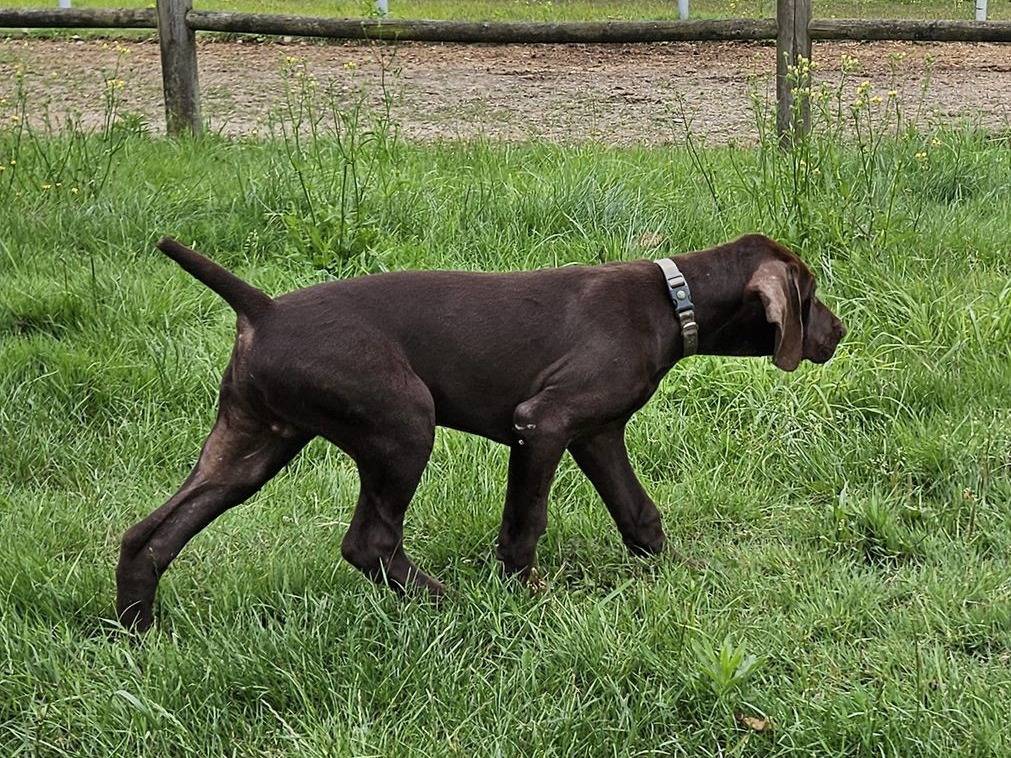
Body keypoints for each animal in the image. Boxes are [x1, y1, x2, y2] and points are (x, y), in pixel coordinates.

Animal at [118, 234, 845, 630]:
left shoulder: (597, 433)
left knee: (146, 536)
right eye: (809, 297)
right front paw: (526, 601)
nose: (839, 333)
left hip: (250, 446)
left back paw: (135, 635)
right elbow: (524, 524)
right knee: (369, 542)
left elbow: (640, 514)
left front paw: (671, 577)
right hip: (402, 424)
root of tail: (262, 309)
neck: (672, 300)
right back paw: (450, 605)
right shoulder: (543, 424)